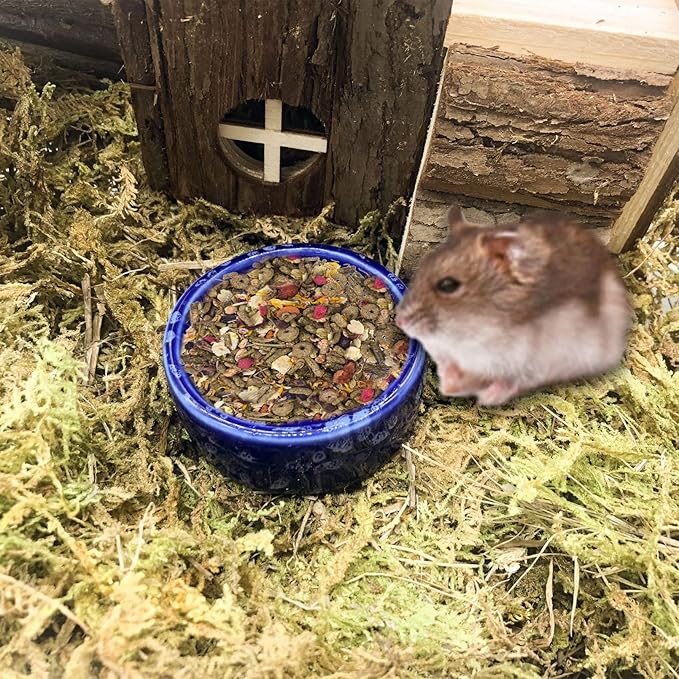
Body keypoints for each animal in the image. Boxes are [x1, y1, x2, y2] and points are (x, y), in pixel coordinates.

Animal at [395, 207, 632, 406]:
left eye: (448, 285)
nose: (399, 320)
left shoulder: (538, 361)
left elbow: (512, 381)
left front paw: (487, 399)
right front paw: (448, 385)